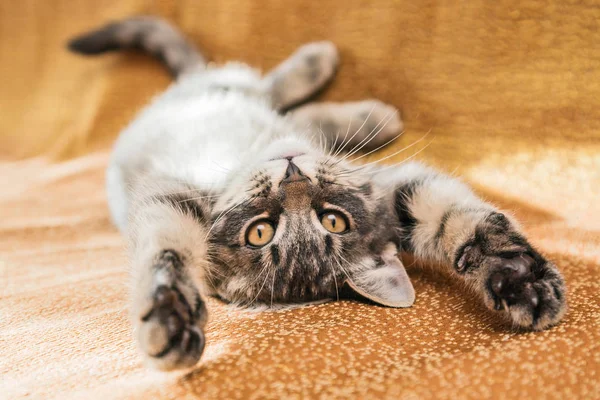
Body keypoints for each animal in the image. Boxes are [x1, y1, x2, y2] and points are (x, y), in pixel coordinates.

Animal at [70, 16, 568, 372]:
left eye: (333, 220)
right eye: (260, 232)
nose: (292, 176)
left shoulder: (392, 192)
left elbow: (464, 225)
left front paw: (520, 279)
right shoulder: (169, 194)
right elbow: (165, 247)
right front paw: (169, 311)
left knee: (281, 103)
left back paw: (358, 103)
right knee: (269, 93)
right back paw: (335, 78)